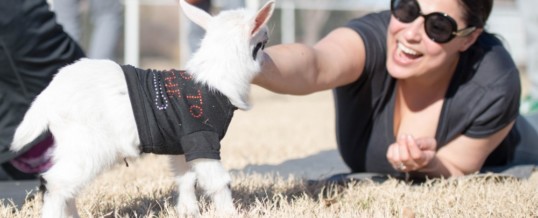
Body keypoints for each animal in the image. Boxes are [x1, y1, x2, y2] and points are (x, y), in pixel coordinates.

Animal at [10, 0, 274, 217]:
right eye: (263, 42)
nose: (270, 61)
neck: (213, 75)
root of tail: (49, 94)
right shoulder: (201, 137)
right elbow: (219, 181)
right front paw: (229, 212)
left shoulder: (182, 143)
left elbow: (186, 178)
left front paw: (188, 211)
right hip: (89, 147)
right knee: (56, 182)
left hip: (69, 145)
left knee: (65, 185)